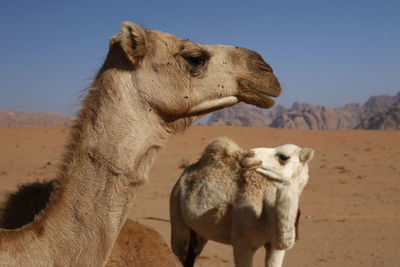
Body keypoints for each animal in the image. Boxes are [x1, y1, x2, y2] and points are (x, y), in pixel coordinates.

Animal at [169, 138, 312, 267]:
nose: (249, 155)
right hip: (176, 208)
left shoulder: (275, 248)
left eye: (283, 157)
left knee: (193, 252)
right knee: (181, 251)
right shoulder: (242, 246)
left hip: (199, 231)